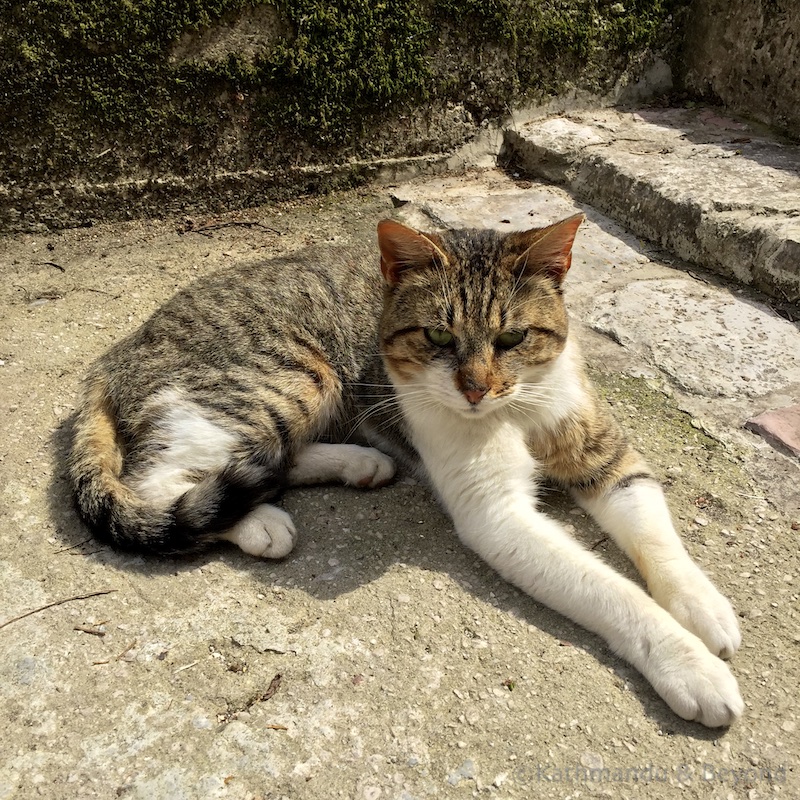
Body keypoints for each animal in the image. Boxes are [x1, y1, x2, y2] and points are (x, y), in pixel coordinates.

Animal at [67, 212, 744, 724]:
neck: (517, 407)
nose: (476, 389)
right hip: (288, 377)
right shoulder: (497, 517)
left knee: (268, 459)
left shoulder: (607, 455)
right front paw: (689, 665)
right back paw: (258, 520)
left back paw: (357, 462)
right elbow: (612, 593)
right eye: (439, 338)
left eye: (513, 338)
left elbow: (656, 535)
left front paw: (702, 605)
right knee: (166, 484)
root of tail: (118, 351)